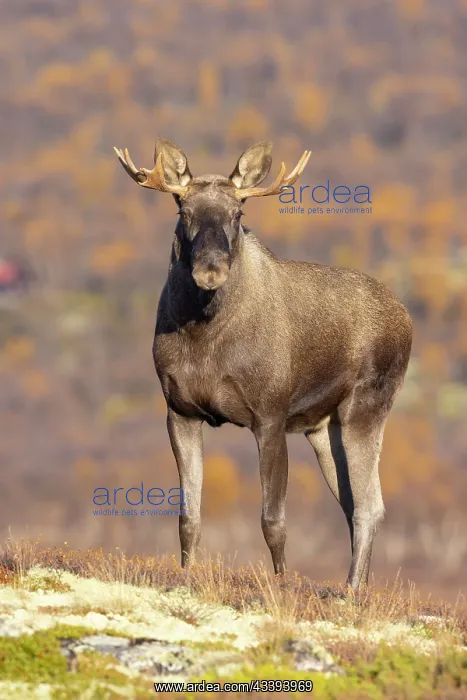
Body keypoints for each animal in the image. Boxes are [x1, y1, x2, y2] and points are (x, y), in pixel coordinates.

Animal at [114, 139, 412, 590]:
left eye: (239, 212)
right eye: (183, 210)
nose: (211, 269)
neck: (204, 339)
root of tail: (408, 321)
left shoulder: (270, 415)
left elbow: (273, 521)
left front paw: (282, 584)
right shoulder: (179, 411)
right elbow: (188, 518)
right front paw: (186, 576)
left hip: (366, 408)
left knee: (369, 507)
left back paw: (350, 592)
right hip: (323, 427)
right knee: (352, 505)